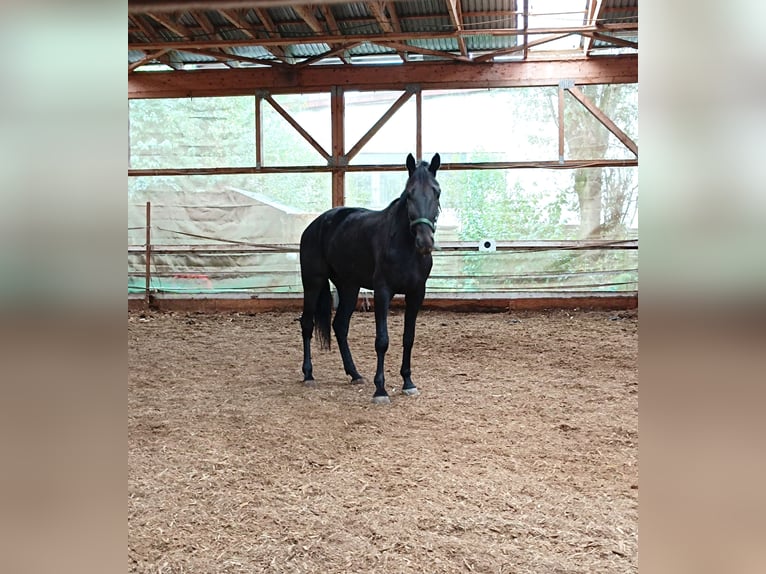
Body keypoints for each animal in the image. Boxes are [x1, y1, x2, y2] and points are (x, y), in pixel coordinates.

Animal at [300, 153, 444, 404]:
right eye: (409, 193)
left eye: (437, 192)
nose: (425, 242)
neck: (404, 246)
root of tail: (314, 225)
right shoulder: (383, 291)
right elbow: (382, 340)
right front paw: (380, 390)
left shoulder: (417, 293)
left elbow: (408, 337)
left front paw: (408, 382)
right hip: (313, 283)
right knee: (307, 324)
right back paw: (308, 375)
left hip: (349, 286)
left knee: (340, 326)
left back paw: (355, 374)